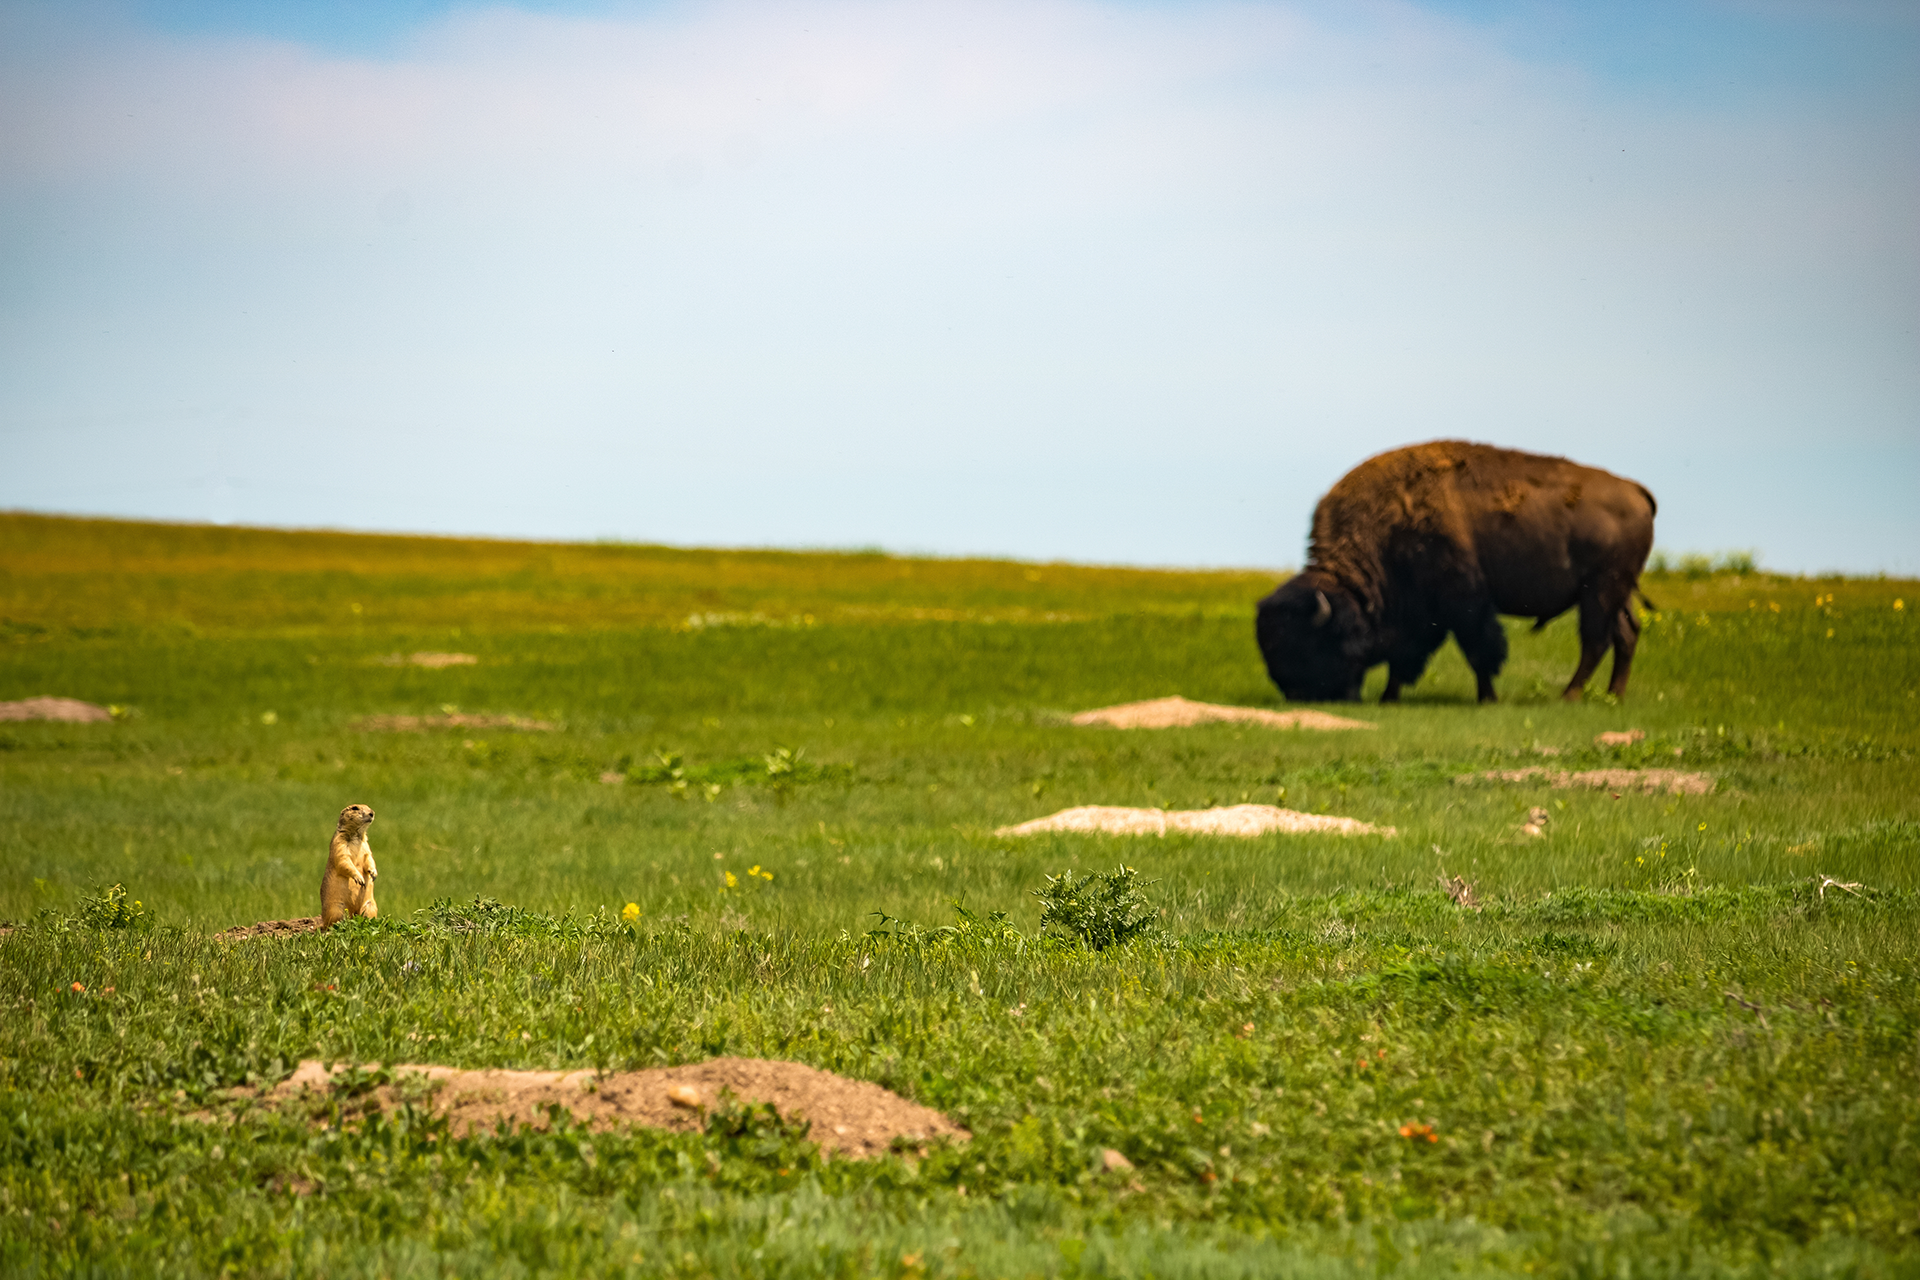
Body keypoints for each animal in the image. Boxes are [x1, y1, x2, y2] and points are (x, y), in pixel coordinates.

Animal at [1256, 441, 1656, 704]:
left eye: (1307, 644)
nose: (1296, 695)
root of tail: (1635, 490)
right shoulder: (1420, 614)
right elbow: (1404, 657)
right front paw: (1388, 697)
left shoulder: (1464, 602)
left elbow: (1479, 650)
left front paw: (1488, 698)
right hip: (1614, 593)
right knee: (1626, 634)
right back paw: (1613, 696)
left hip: (1599, 590)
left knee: (1595, 640)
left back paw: (1569, 696)